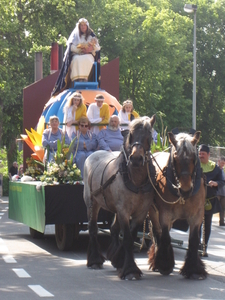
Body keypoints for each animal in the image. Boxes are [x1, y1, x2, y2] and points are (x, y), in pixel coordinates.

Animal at [83, 116, 156, 280]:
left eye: (149, 135)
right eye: (131, 135)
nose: (136, 159)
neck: (136, 179)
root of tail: (93, 154)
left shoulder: (140, 212)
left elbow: (131, 235)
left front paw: (123, 263)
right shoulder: (123, 210)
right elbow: (127, 238)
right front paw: (130, 270)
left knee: (114, 229)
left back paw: (115, 259)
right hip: (92, 202)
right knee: (92, 228)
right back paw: (95, 260)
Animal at [148, 131, 207, 278]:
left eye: (194, 157)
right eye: (175, 158)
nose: (185, 189)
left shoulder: (197, 215)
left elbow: (194, 240)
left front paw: (193, 269)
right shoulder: (165, 213)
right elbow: (164, 236)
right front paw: (165, 265)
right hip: (153, 211)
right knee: (157, 233)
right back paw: (156, 260)